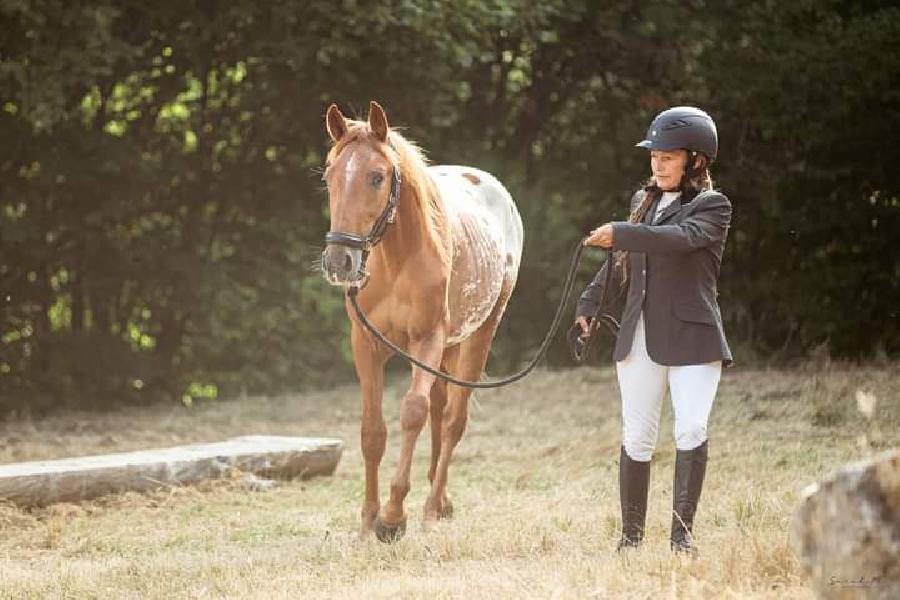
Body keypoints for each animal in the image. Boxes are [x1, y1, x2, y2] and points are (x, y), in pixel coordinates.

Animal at [320, 101, 524, 540]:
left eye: (376, 176)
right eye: (329, 176)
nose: (339, 261)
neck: (397, 259)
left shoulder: (427, 339)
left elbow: (412, 411)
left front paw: (393, 516)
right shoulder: (366, 345)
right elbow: (372, 432)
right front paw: (367, 522)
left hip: (479, 334)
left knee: (452, 420)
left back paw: (431, 509)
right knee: (440, 410)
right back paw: (440, 501)